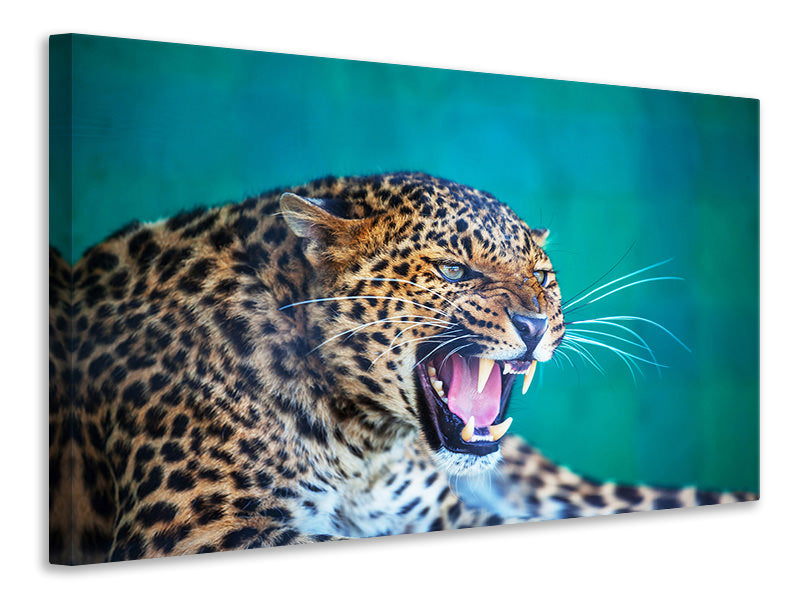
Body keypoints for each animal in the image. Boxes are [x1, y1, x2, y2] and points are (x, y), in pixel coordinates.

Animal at [48, 172, 757, 565]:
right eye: (453, 270)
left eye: (541, 276)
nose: (535, 324)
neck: (364, 447)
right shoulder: (199, 531)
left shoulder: (451, 518)